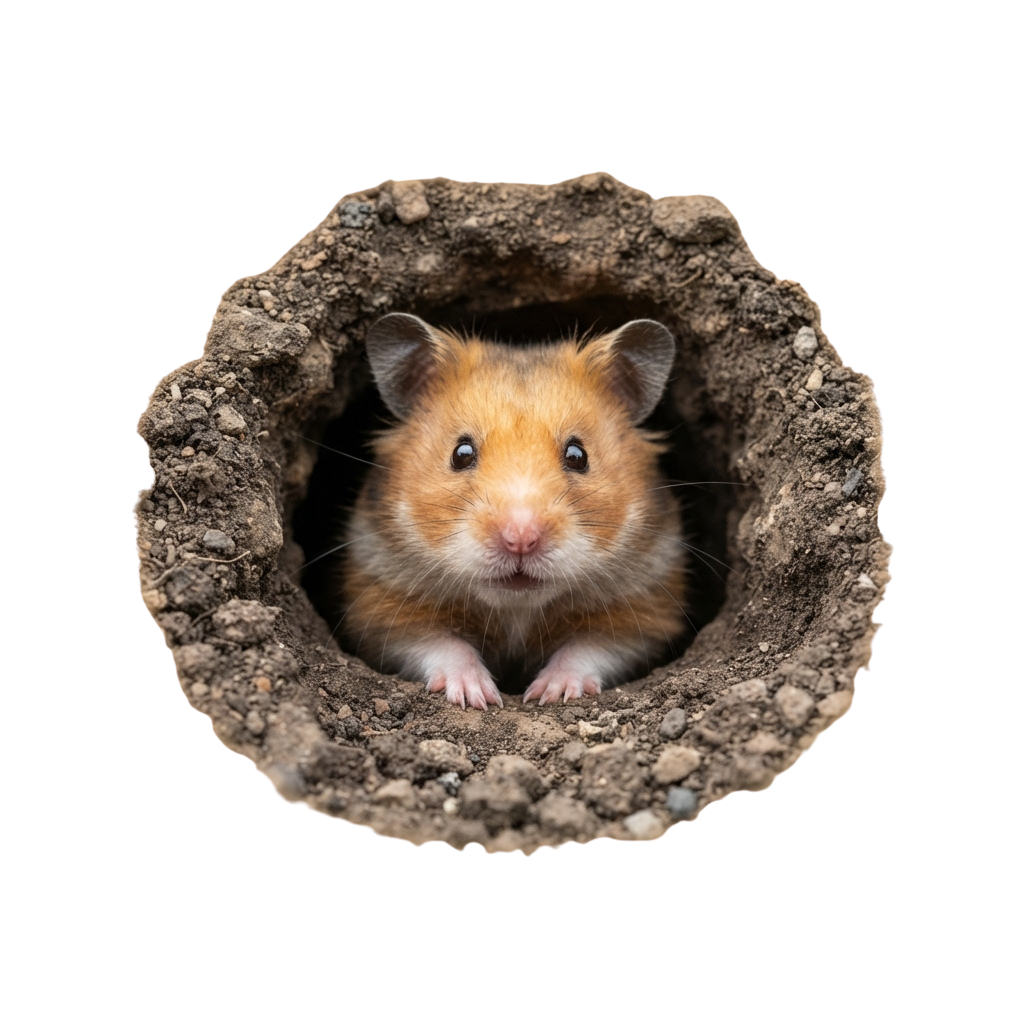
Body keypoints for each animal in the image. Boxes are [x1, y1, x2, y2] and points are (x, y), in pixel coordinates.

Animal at [340, 312, 686, 709]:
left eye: (578, 455)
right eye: (461, 453)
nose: (520, 540)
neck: (516, 608)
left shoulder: (644, 607)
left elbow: (588, 648)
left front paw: (547, 693)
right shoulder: (380, 602)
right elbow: (440, 644)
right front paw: (478, 696)